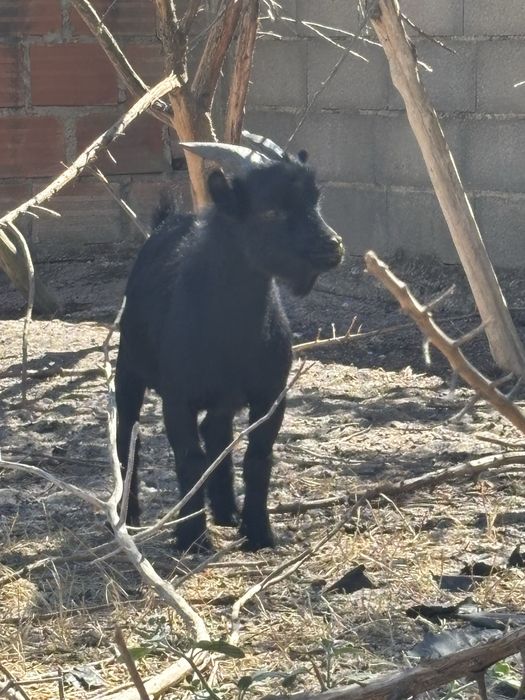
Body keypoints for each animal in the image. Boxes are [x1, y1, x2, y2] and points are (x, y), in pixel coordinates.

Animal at [115, 133, 344, 552]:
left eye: (315, 200)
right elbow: (189, 458)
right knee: (127, 433)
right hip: (129, 368)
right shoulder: (178, 396)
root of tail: (167, 221)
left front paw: (259, 532)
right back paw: (131, 514)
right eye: (271, 211)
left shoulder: (270, 393)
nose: (333, 247)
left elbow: (257, 458)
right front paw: (191, 538)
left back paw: (226, 510)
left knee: (216, 433)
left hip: (223, 397)